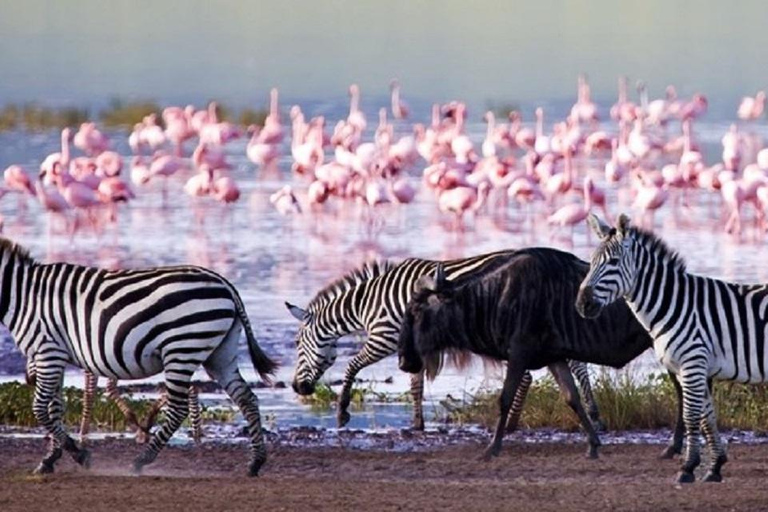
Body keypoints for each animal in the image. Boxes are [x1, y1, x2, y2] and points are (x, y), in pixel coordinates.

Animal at [0, 237, 276, 476]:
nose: (27, 377)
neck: (22, 295)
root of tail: (225, 284)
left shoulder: (47, 352)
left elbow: (39, 408)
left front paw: (78, 455)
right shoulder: (53, 354)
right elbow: (54, 407)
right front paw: (50, 459)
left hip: (181, 349)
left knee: (178, 409)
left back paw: (141, 460)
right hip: (220, 354)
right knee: (247, 399)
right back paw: (255, 462)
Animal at [288, 250, 608, 430]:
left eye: (297, 345)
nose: (296, 388)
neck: (368, 302)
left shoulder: (384, 337)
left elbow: (352, 367)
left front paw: (342, 413)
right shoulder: (411, 346)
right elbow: (415, 386)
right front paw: (417, 424)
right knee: (573, 366)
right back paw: (593, 414)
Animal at [576, 213, 752, 484]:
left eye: (613, 262)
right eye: (592, 261)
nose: (582, 304)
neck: (676, 303)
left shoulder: (693, 361)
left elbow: (692, 415)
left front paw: (688, 467)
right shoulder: (693, 364)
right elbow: (706, 416)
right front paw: (714, 467)